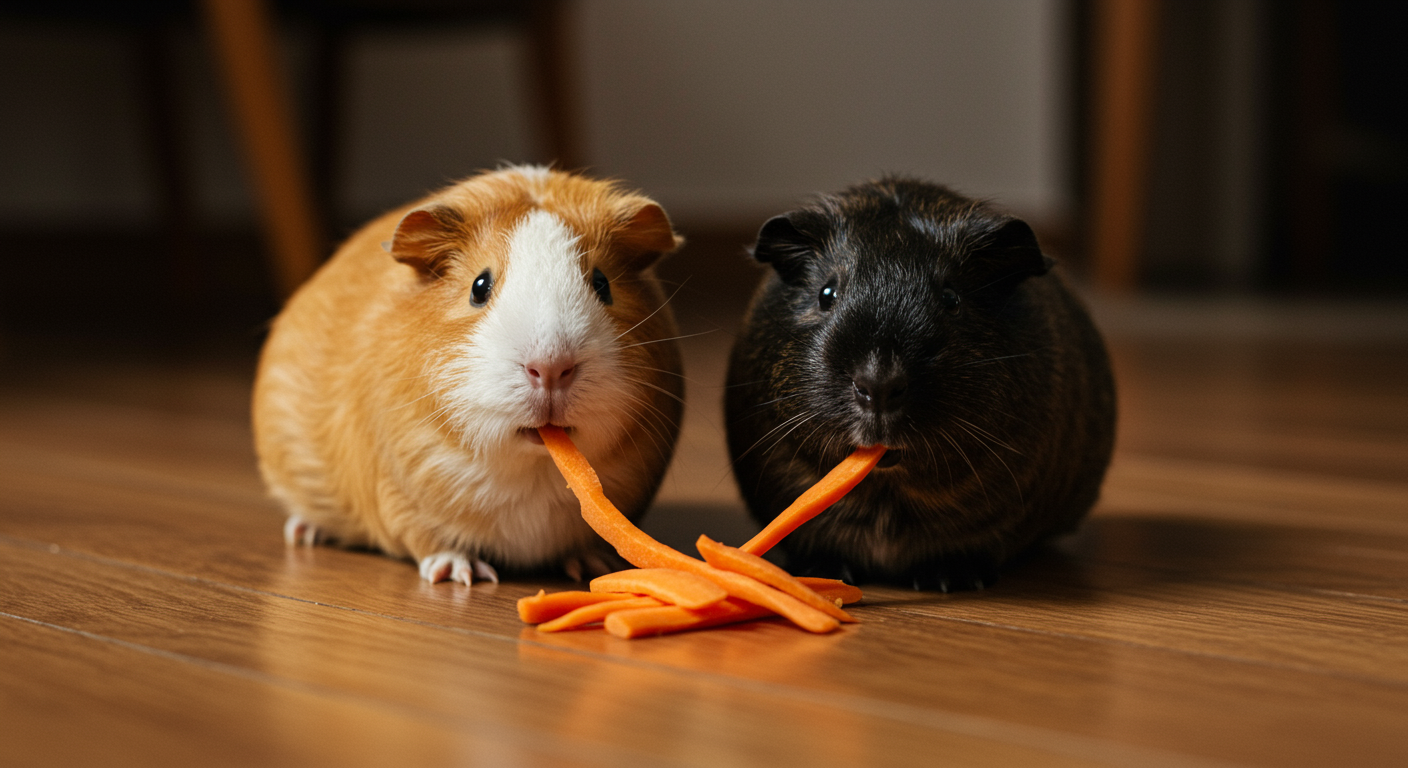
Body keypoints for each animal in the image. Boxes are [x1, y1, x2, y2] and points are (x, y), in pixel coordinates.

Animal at [253, 166, 685, 585]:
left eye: (602, 284)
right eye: (479, 286)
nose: (550, 368)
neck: (535, 471)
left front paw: (596, 565)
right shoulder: (401, 492)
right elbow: (429, 539)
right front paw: (460, 575)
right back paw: (305, 533)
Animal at [725, 178, 1116, 591]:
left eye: (951, 298)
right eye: (826, 294)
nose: (878, 384)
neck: (889, 498)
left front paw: (949, 579)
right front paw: (824, 571)